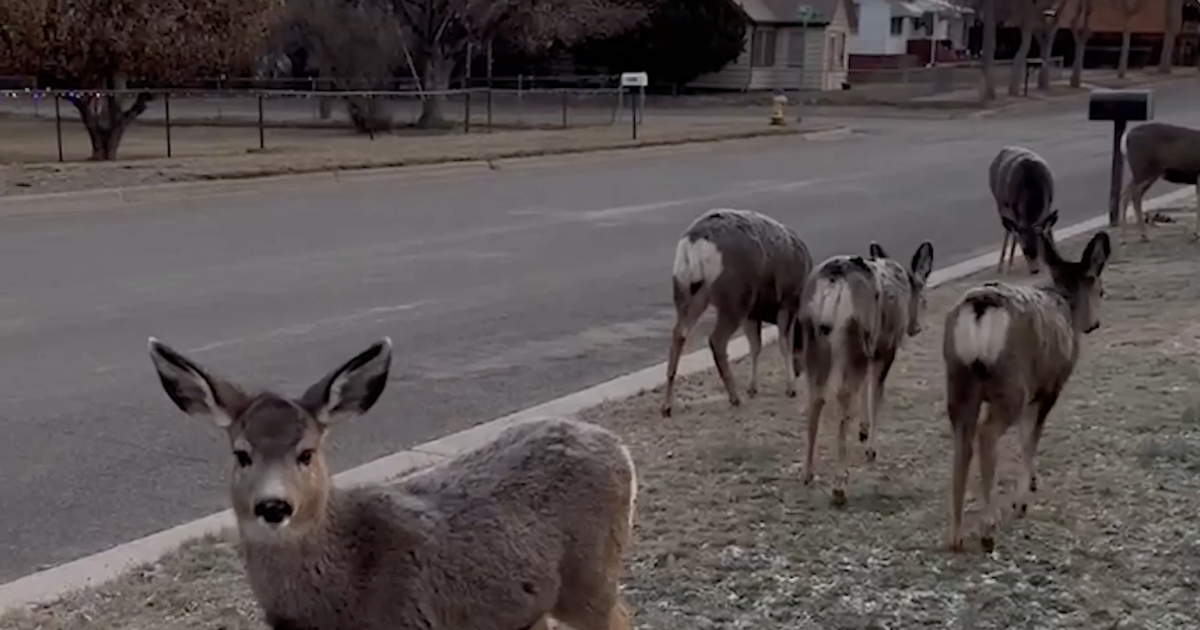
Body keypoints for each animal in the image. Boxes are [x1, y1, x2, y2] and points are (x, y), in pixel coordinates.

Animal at [661, 208, 814, 418]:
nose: (801, 371)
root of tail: (694, 245)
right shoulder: (787, 303)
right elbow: (783, 344)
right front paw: (790, 388)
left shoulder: (753, 314)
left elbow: (755, 346)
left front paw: (752, 388)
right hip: (735, 298)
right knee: (716, 340)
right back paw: (734, 398)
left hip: (688, 291)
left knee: (679, 333)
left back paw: (667, 406)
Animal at [797, 239, 935, 506]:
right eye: (923, 296)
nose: (915, 328)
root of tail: (833, 283)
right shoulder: (886, 348)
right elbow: (876, 394)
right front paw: (871, 447)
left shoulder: (872, 351)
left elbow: (866, 389)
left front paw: (863, 430)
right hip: (854, 337)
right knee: (843, 396)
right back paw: (839, 486)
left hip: (813, 340)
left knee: (816, 398)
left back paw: (808, 473)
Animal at [942, 230, 1111, 553]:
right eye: (1100, 289)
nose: (1095, 324)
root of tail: (980, 308)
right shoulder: (1048, 388)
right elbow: (1029, 439)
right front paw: (1022, 501)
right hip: (1011, 385)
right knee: (987, 434)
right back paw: (988, 528)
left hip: (959, 380)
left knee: (962, 442)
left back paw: (956, 535)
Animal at [988, 146, 1059, 275]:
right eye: (1024, 250)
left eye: (1039, 248)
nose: (1035, 270)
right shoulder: (1013, 209)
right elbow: (1015, 234)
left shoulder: (1048, 204)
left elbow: (1048, 229)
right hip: (1000, 202)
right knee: (1008, 229)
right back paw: (1002, 265)